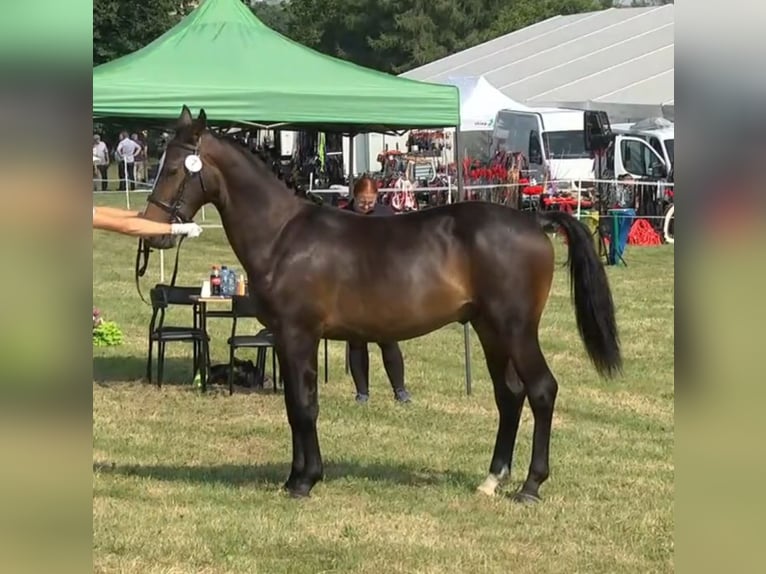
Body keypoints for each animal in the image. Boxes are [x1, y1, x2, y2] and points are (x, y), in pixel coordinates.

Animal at [144, 108, 624, 504]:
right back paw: (492, 479)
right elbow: (295, 407)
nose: (153, 231)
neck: (283, 235)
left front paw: (305, 481)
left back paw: (530, 486)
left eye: (175, 167)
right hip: (489, 330)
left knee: (541, 391)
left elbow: (303, 405)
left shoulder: (298, 334)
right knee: (510, 395)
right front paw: (296, 476)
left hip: (517, 329)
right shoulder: (283, 338)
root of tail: (533, 218)